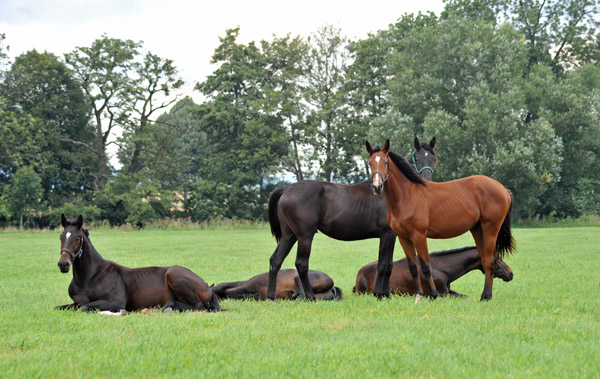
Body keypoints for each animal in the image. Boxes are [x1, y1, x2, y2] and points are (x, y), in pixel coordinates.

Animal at [55, 215, 220, 314]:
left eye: (77, 238)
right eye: (61, 237)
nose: (63, 264)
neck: (91, 277)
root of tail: (207, 287)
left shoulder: (116, 303)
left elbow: (84, 307)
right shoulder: (74, 303)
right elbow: (61, 307)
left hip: (174, 274)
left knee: (198, 306)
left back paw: (169, 307)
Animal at [268, 138, 436, 302]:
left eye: (433, 158)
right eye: (416, 158)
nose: (426, 180)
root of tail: (286, 189)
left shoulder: (391, 236)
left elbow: (389, 266)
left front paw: (385, 294)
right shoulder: (387, 234)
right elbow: (382, 265)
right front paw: (379, 294)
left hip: (289, 235)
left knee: (275, 261)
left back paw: (271, 296)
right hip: (305, 236)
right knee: (301, 264)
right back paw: (310, 297)